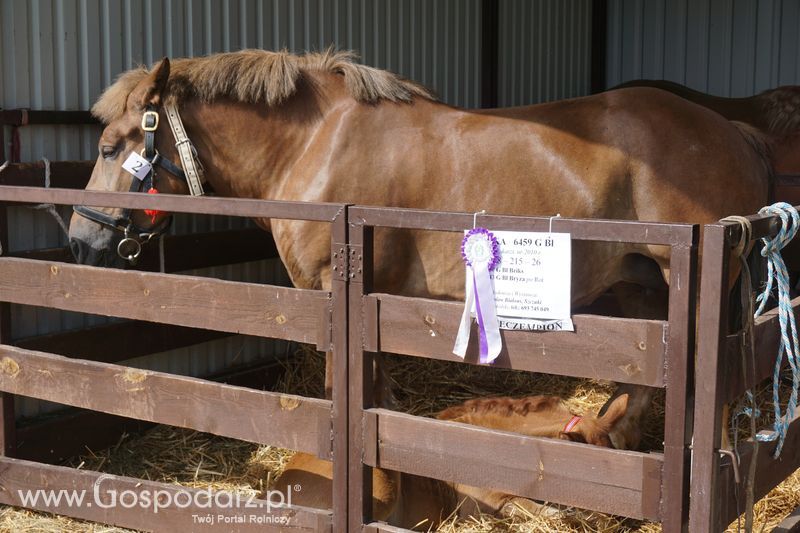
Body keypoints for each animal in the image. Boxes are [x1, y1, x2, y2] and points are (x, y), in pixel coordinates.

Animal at [70, 48, 776, 448]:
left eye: (109, 147)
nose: (79, 238)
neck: (314, 143)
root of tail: (735, 131)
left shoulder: (338, 296)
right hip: (640, 284)